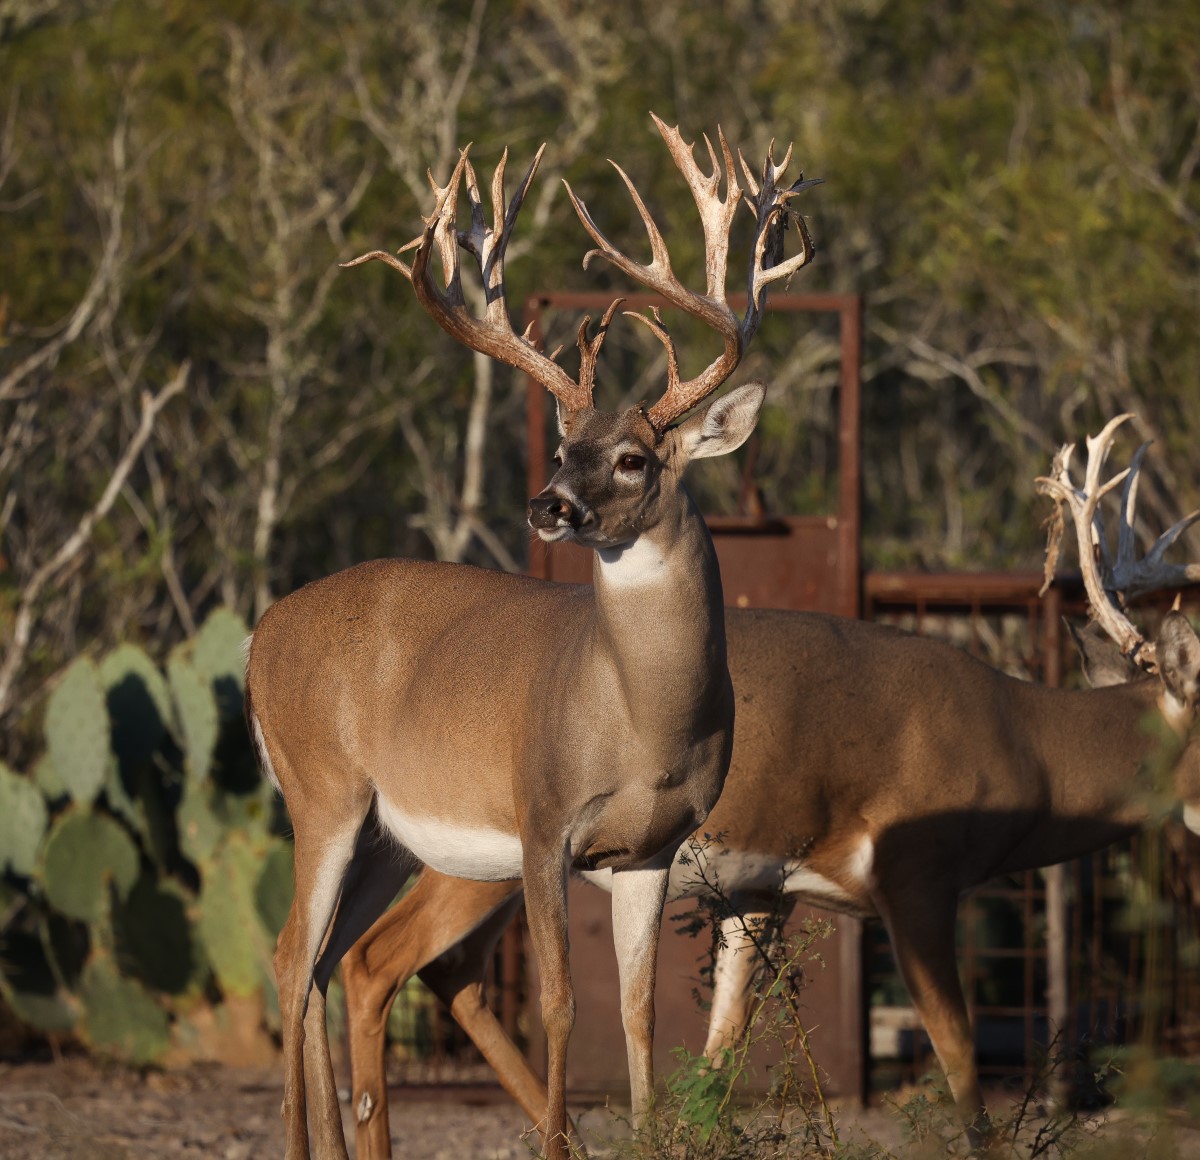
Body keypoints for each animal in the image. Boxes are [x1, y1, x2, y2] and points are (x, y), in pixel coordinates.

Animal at [243, 113, 819, 1160]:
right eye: (560, 448)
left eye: (632, 459)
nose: (547, 505)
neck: (641, 720)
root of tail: (259, 633)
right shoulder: (544, 820)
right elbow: (558, 1004)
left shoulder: (650, 850)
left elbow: (636, 1015)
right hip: (321, 791)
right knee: (291, 951)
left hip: (388, 834)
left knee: (324, 959)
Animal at [337, 414, 1200, 1159]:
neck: (1018, 745)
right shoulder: (915, 872)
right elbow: (958, 1062)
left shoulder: (768, 887)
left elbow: (720, 1060)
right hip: (486, 850)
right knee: (378, 958)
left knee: (445, 969)